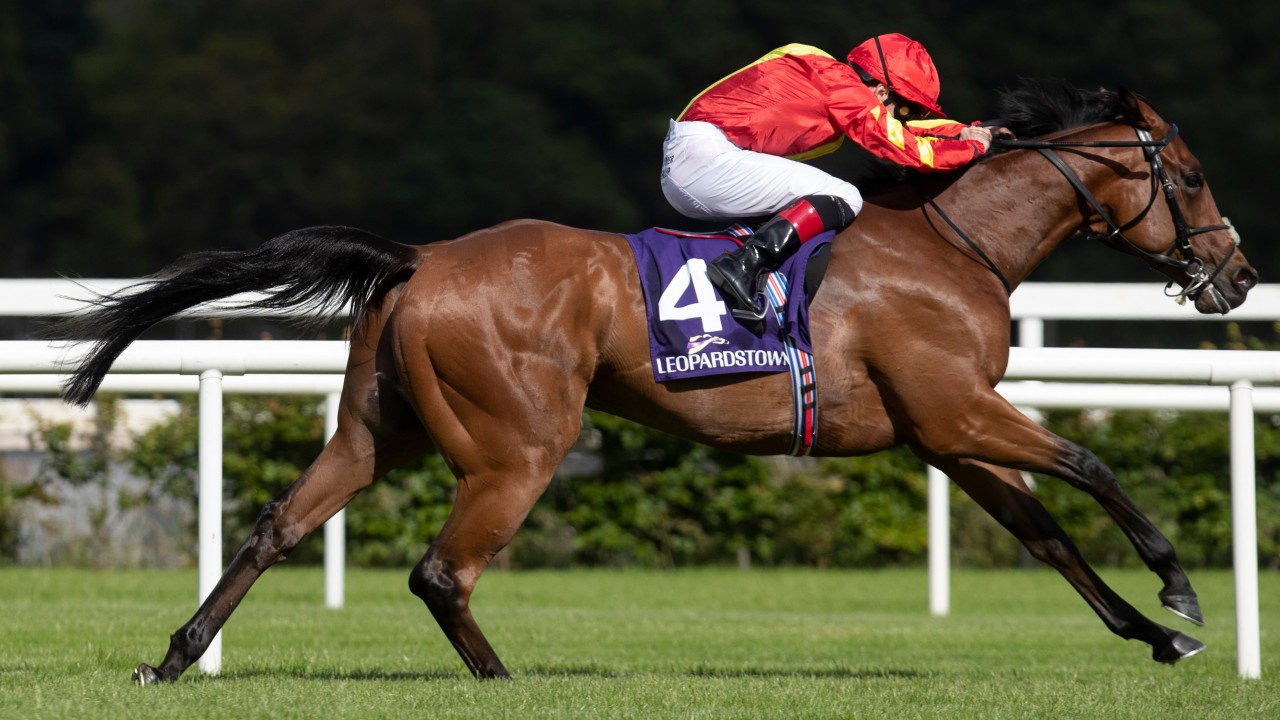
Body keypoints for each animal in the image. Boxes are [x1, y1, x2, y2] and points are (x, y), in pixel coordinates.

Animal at [48, 80, 1257, 683]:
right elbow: (1091, 462)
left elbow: (1048, 537)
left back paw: (174, 660)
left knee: (276, 528)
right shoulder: (959, 408)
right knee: (442, 571)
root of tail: (420, 258)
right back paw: (505, 682)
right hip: (520, 443)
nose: (1237, 274)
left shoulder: (942, 432)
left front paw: (1160, 636)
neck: (948, 245)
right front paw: (1180, 589)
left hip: (372, 429)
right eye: (1193, 176)